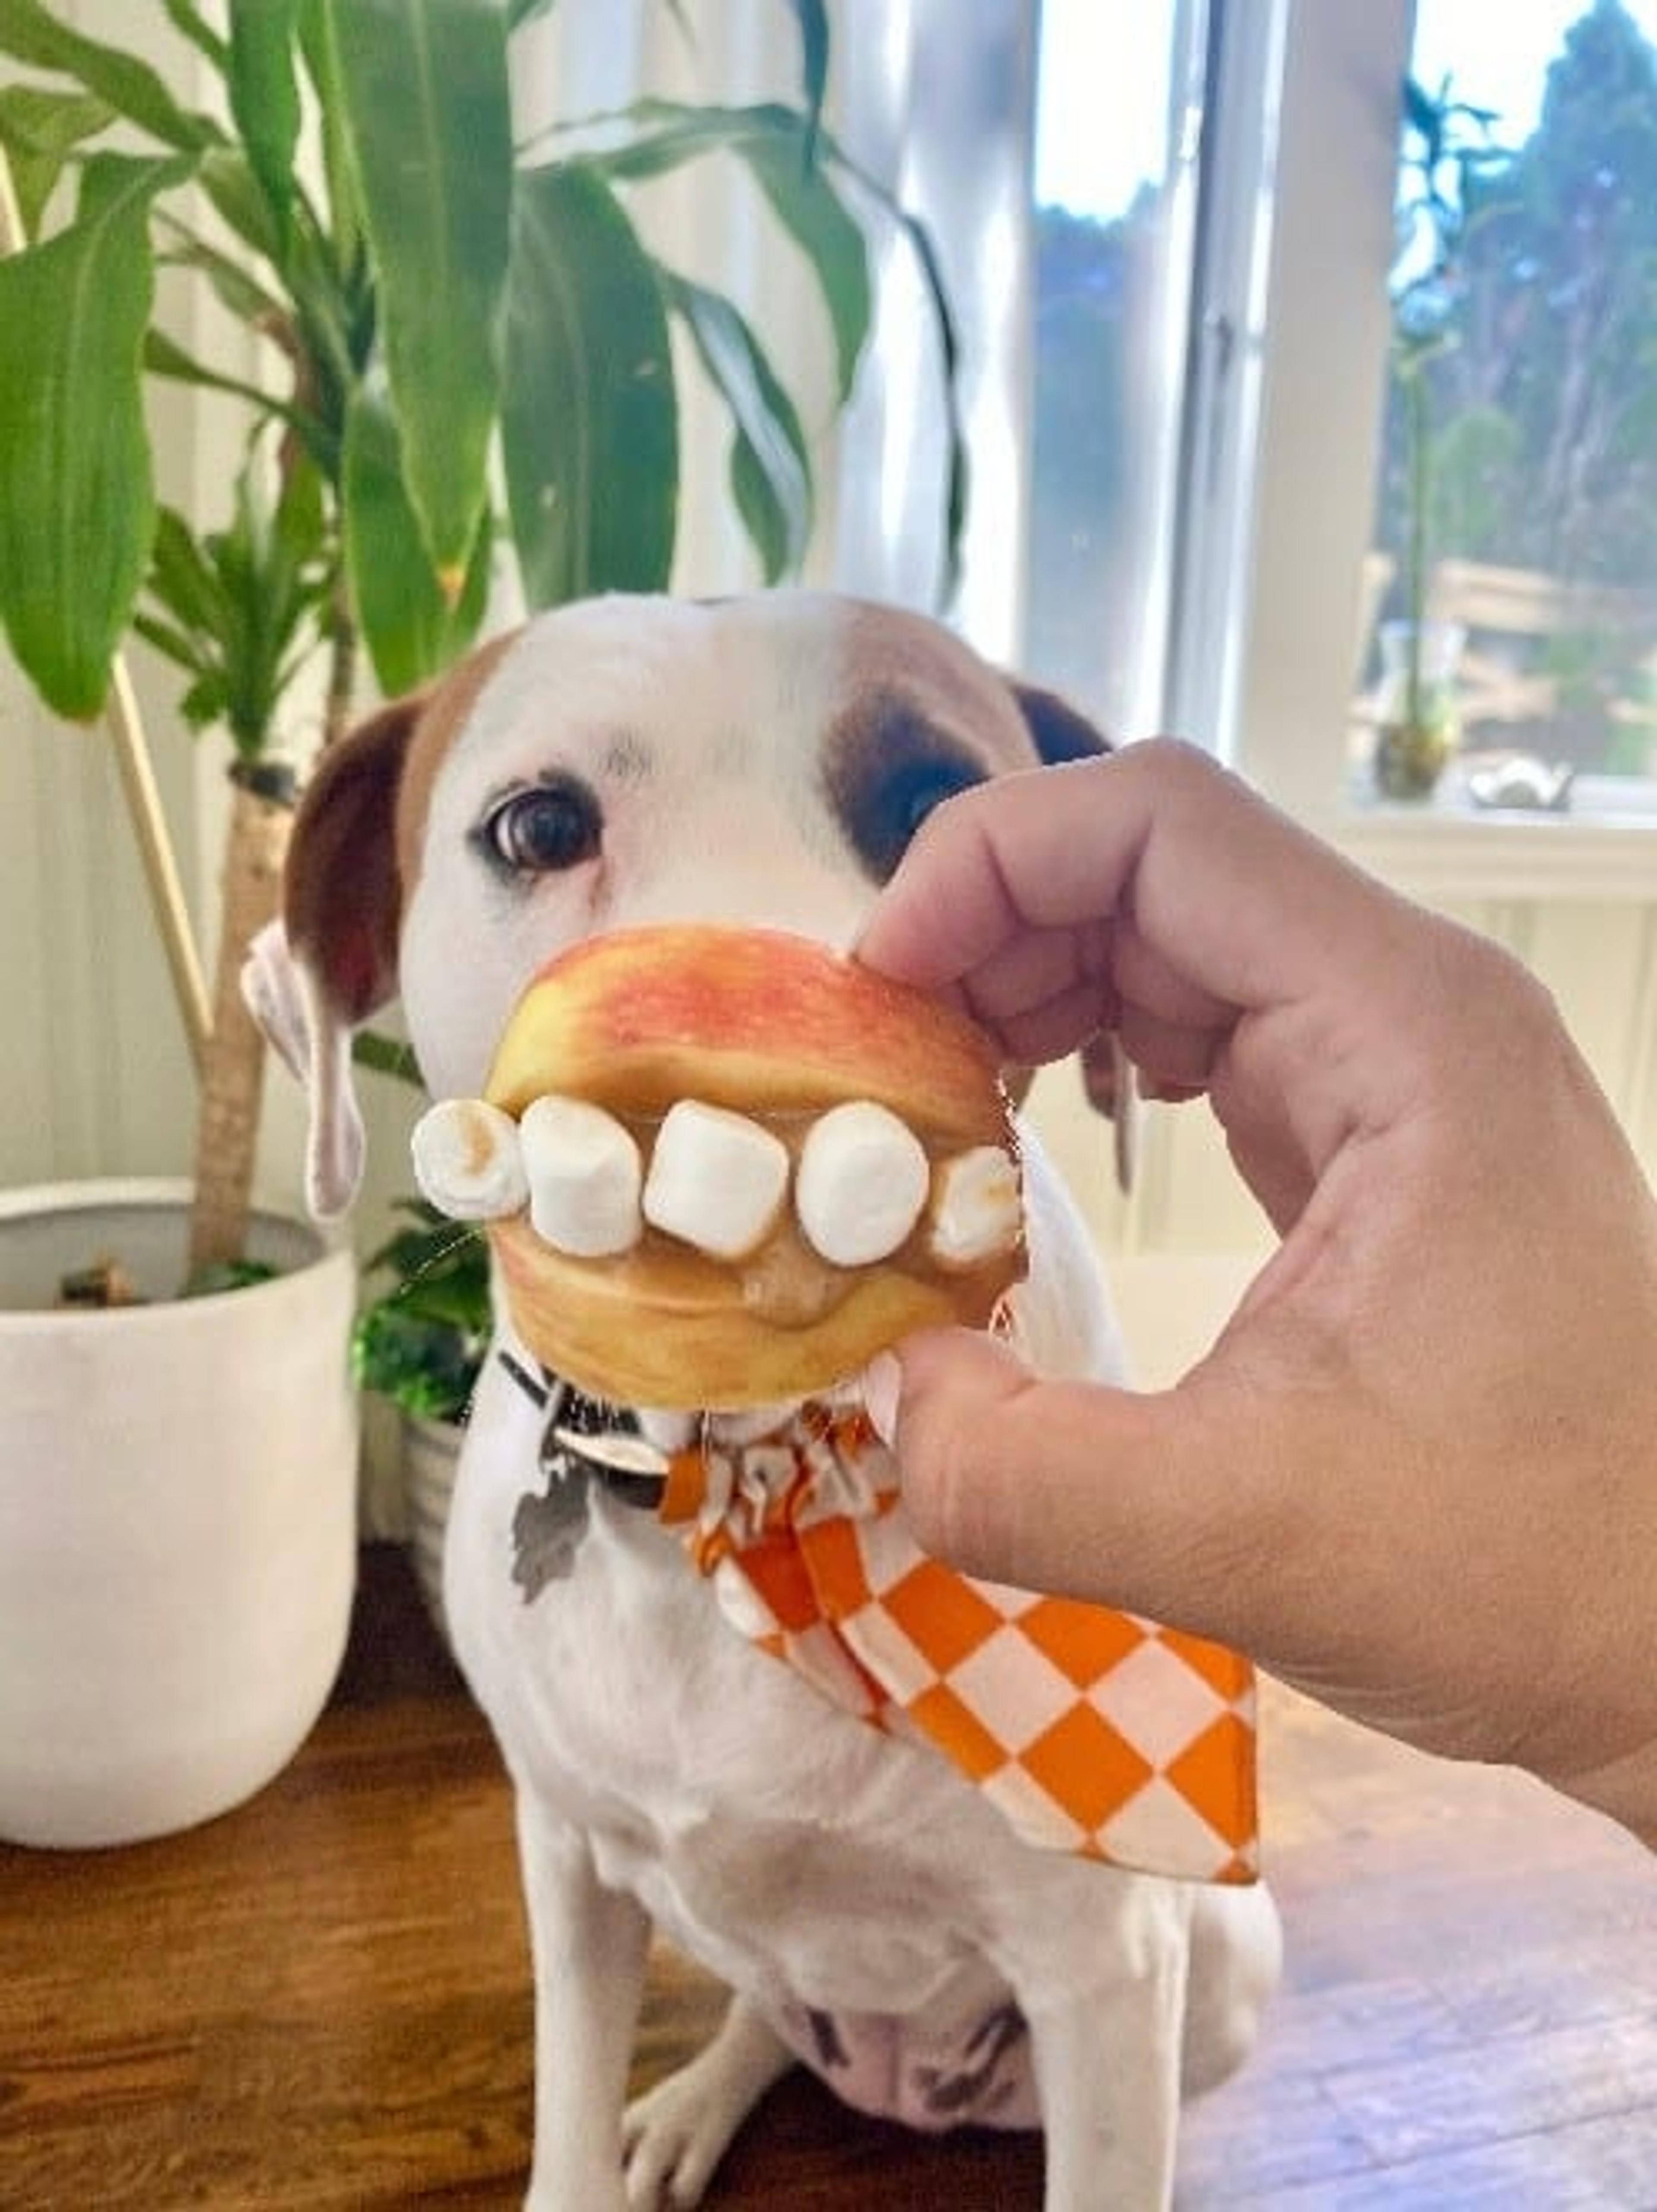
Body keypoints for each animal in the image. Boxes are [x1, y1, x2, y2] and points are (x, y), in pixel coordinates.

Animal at [255, 593, 1283, 2212]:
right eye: (537, 823)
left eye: (939, 806)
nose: (771, 1017)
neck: (747, 1489)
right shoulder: (564, 1859)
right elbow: (563, 2119)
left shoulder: (1106, 1964)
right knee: (763, 2009)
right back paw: (691, 2106)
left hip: (1223, 1958)